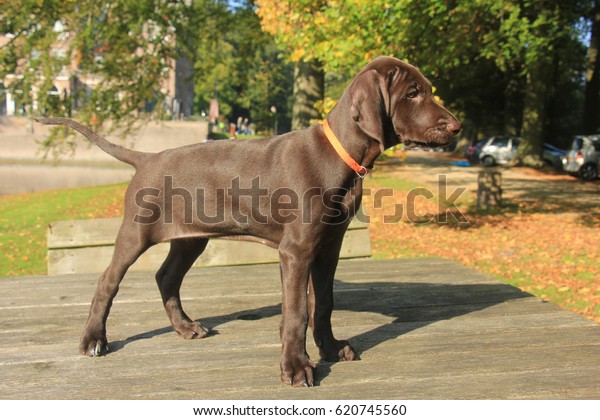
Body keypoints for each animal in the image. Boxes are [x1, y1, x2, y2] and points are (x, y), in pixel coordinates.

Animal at [37, 55, 460, 388]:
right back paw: (94, 340)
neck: (340, 155)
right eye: (413, 93)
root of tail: (147, 157)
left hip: (192, 237)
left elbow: (323, 302)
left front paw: (329, 348)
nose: (456, 127)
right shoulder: (296, 250)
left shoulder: (329, 246)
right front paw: (295, 367)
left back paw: (185, 327)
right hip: (136, 232)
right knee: (108, 281)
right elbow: (297, 311)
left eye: (425, 89)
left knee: (166, 277)